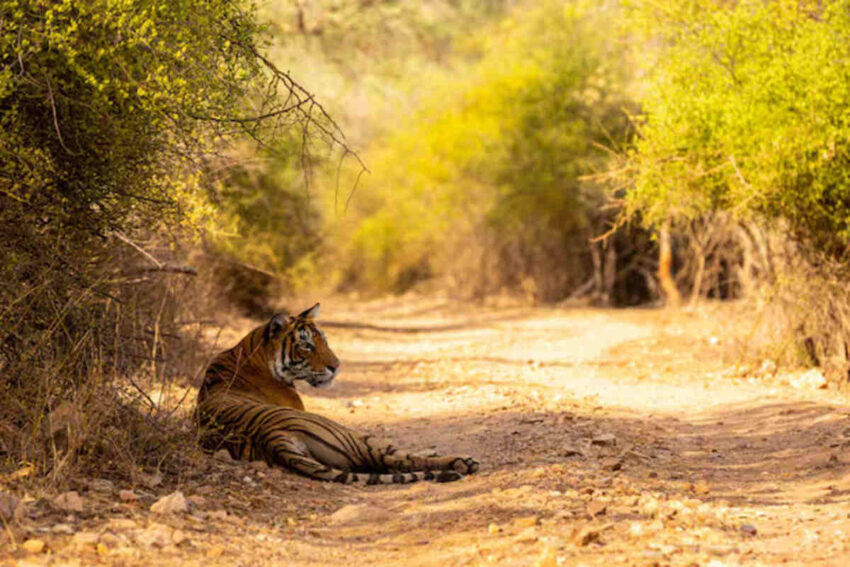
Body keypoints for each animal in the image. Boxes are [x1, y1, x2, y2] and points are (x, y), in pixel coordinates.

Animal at [195, 304, 480, 486]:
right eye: (306, 345)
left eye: (324, 339)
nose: (337, 365)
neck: (251, 353)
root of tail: (272, 438)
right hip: (353, 436)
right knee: (398, 458)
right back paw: (462, 462)